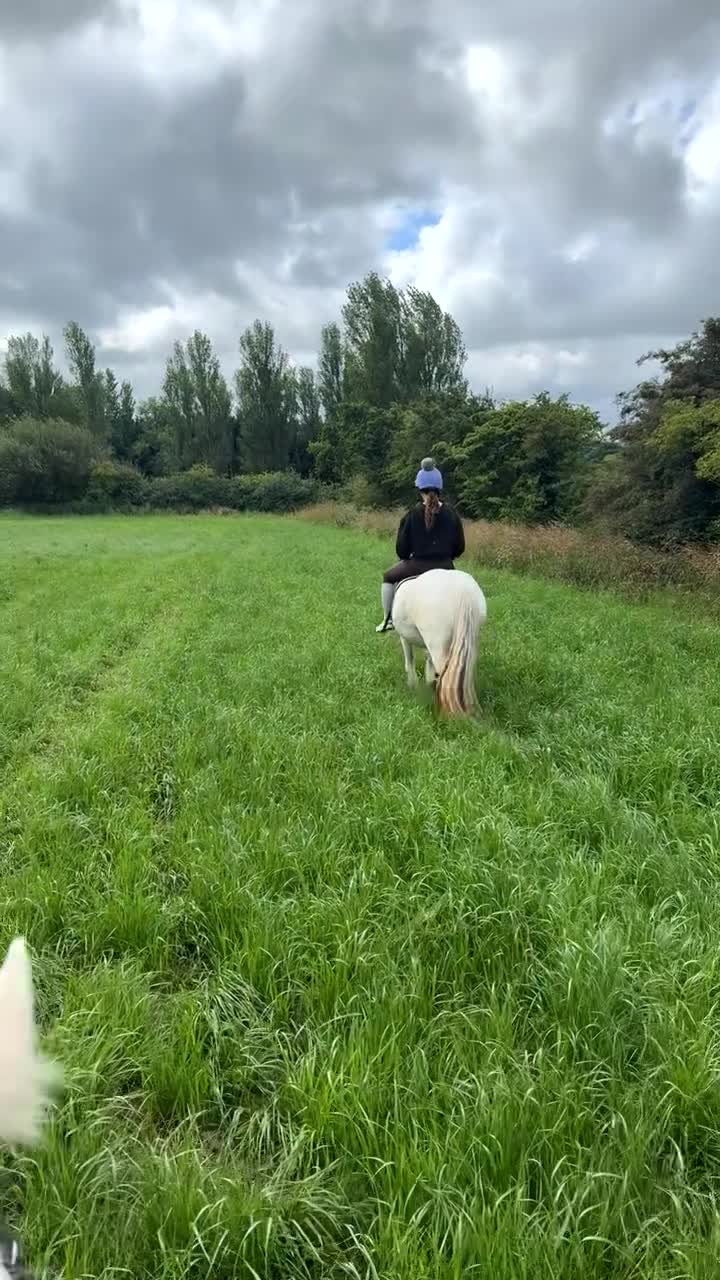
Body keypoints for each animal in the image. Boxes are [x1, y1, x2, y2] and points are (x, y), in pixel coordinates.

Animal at [391, 569, 487, 717]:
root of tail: (464, 593)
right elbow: (429, 668)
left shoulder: (404, 638)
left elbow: (409, 661)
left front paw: (413, 685)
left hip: (439, 647)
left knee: (444, 677)